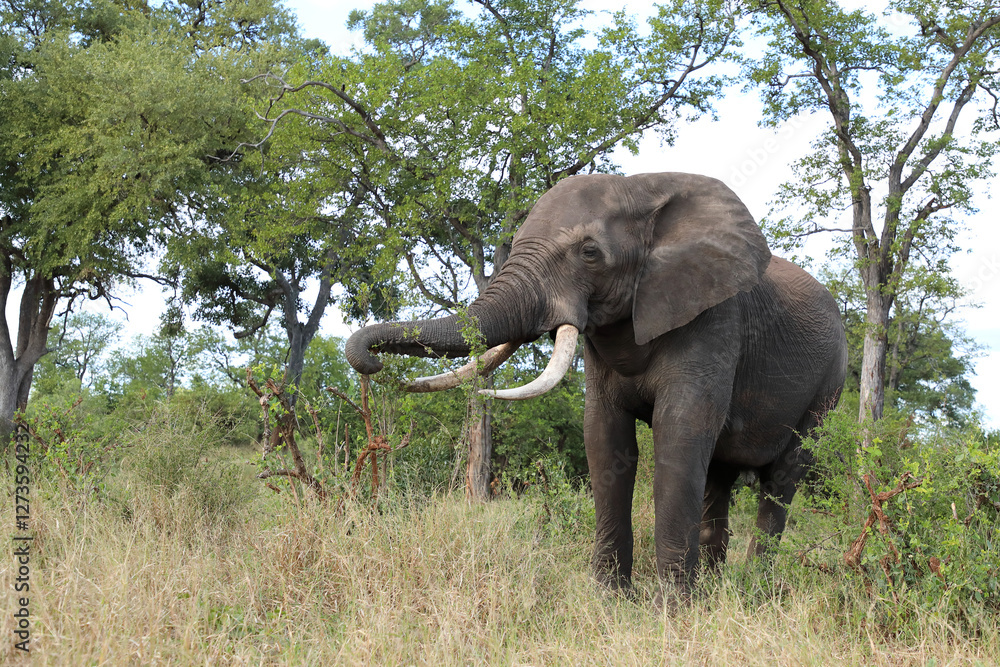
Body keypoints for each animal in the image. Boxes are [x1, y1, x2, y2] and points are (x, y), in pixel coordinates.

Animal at [345, 172, 848, 600]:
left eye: (589, 253)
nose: (373, 362)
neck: (644, 189)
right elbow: (604, 440)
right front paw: (612, 600)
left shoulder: (714, 317)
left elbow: (679, 433)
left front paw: (671, 612)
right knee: (718, 479)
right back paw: (715, 590)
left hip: (830, 383)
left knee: (783, 477)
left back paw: (753, 591)